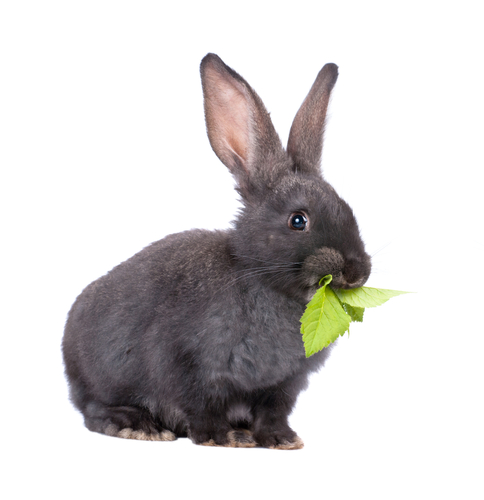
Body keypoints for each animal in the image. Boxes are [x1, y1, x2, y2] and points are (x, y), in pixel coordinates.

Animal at [60, 53, 370, 450]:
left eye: (348, 209)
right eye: (298, 220)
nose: (357, 272)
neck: (262, 281)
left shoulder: (282, 386)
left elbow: (273, 412)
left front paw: (281, 440)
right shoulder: (187, 364)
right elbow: (200, 405)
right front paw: (221, 437)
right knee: (94, 411)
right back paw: (139, 426)